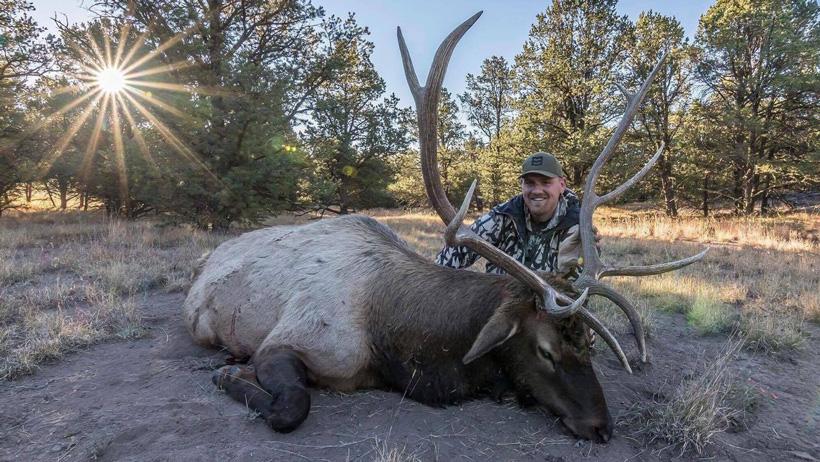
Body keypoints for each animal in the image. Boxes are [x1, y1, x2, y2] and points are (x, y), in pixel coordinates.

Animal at [182, 11, 707, 443]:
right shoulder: (288, 340)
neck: (395, 344)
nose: (602, 426)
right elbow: (292, 405)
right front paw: (228, 374)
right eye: (546, 351)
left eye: (590, 345)